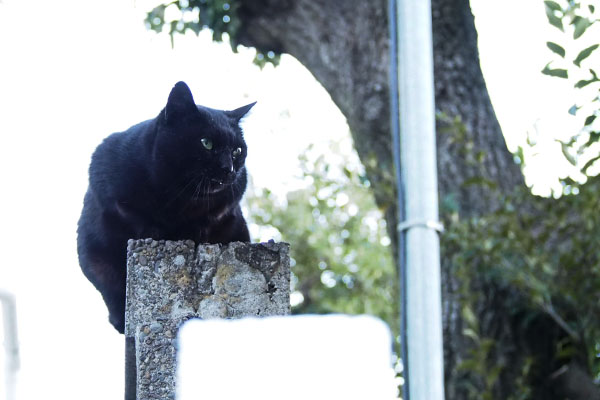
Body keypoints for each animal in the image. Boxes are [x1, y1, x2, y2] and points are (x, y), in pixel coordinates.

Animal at [77, 82, 253, 334]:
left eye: (237, 151)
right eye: (206, 143)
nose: (228, 168)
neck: (182, 197)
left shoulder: (231, 200)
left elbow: (210, 218)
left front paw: (194, 231)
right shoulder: (106, 180)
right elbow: (135, 215)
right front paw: (159, 231)